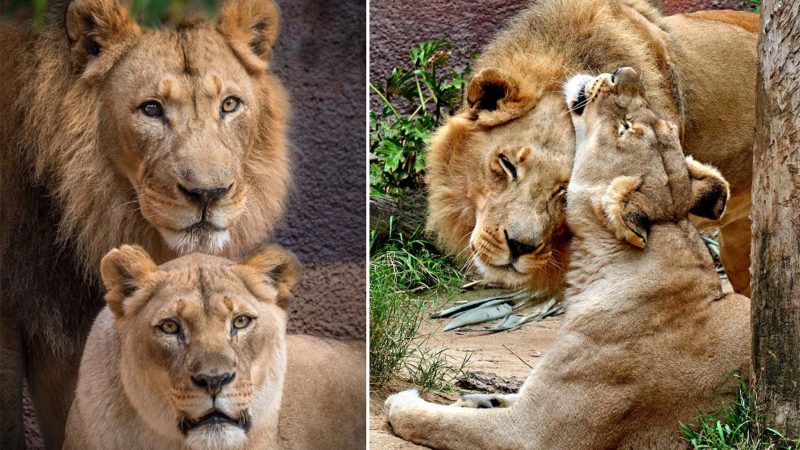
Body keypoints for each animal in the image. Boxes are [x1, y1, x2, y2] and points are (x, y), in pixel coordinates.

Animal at [386, 67, 752, 450]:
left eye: (624, 128)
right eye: (658, 123)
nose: (625, 72)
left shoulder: (536, 433)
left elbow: (445, 423)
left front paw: (403, 402)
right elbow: (508, 395)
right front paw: (479, 399)